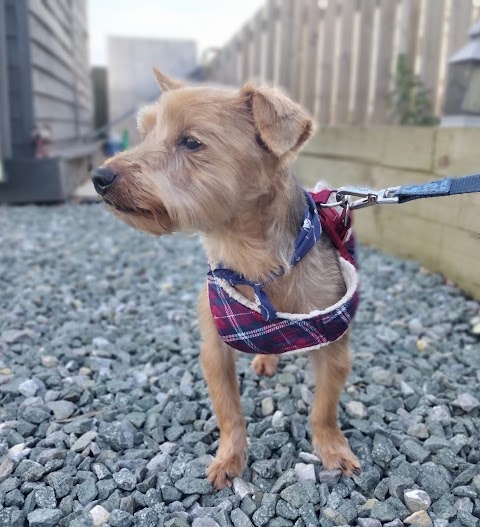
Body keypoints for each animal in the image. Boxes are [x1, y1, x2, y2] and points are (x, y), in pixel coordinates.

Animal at [91, 68, 360, 488]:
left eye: (191, 142)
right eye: (145, 133)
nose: (99, 176)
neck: (255, 263)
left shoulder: (334, 344)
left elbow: (324, 408)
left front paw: (332, 448)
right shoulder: (214, 348)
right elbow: (229, 411)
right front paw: (230, 458)